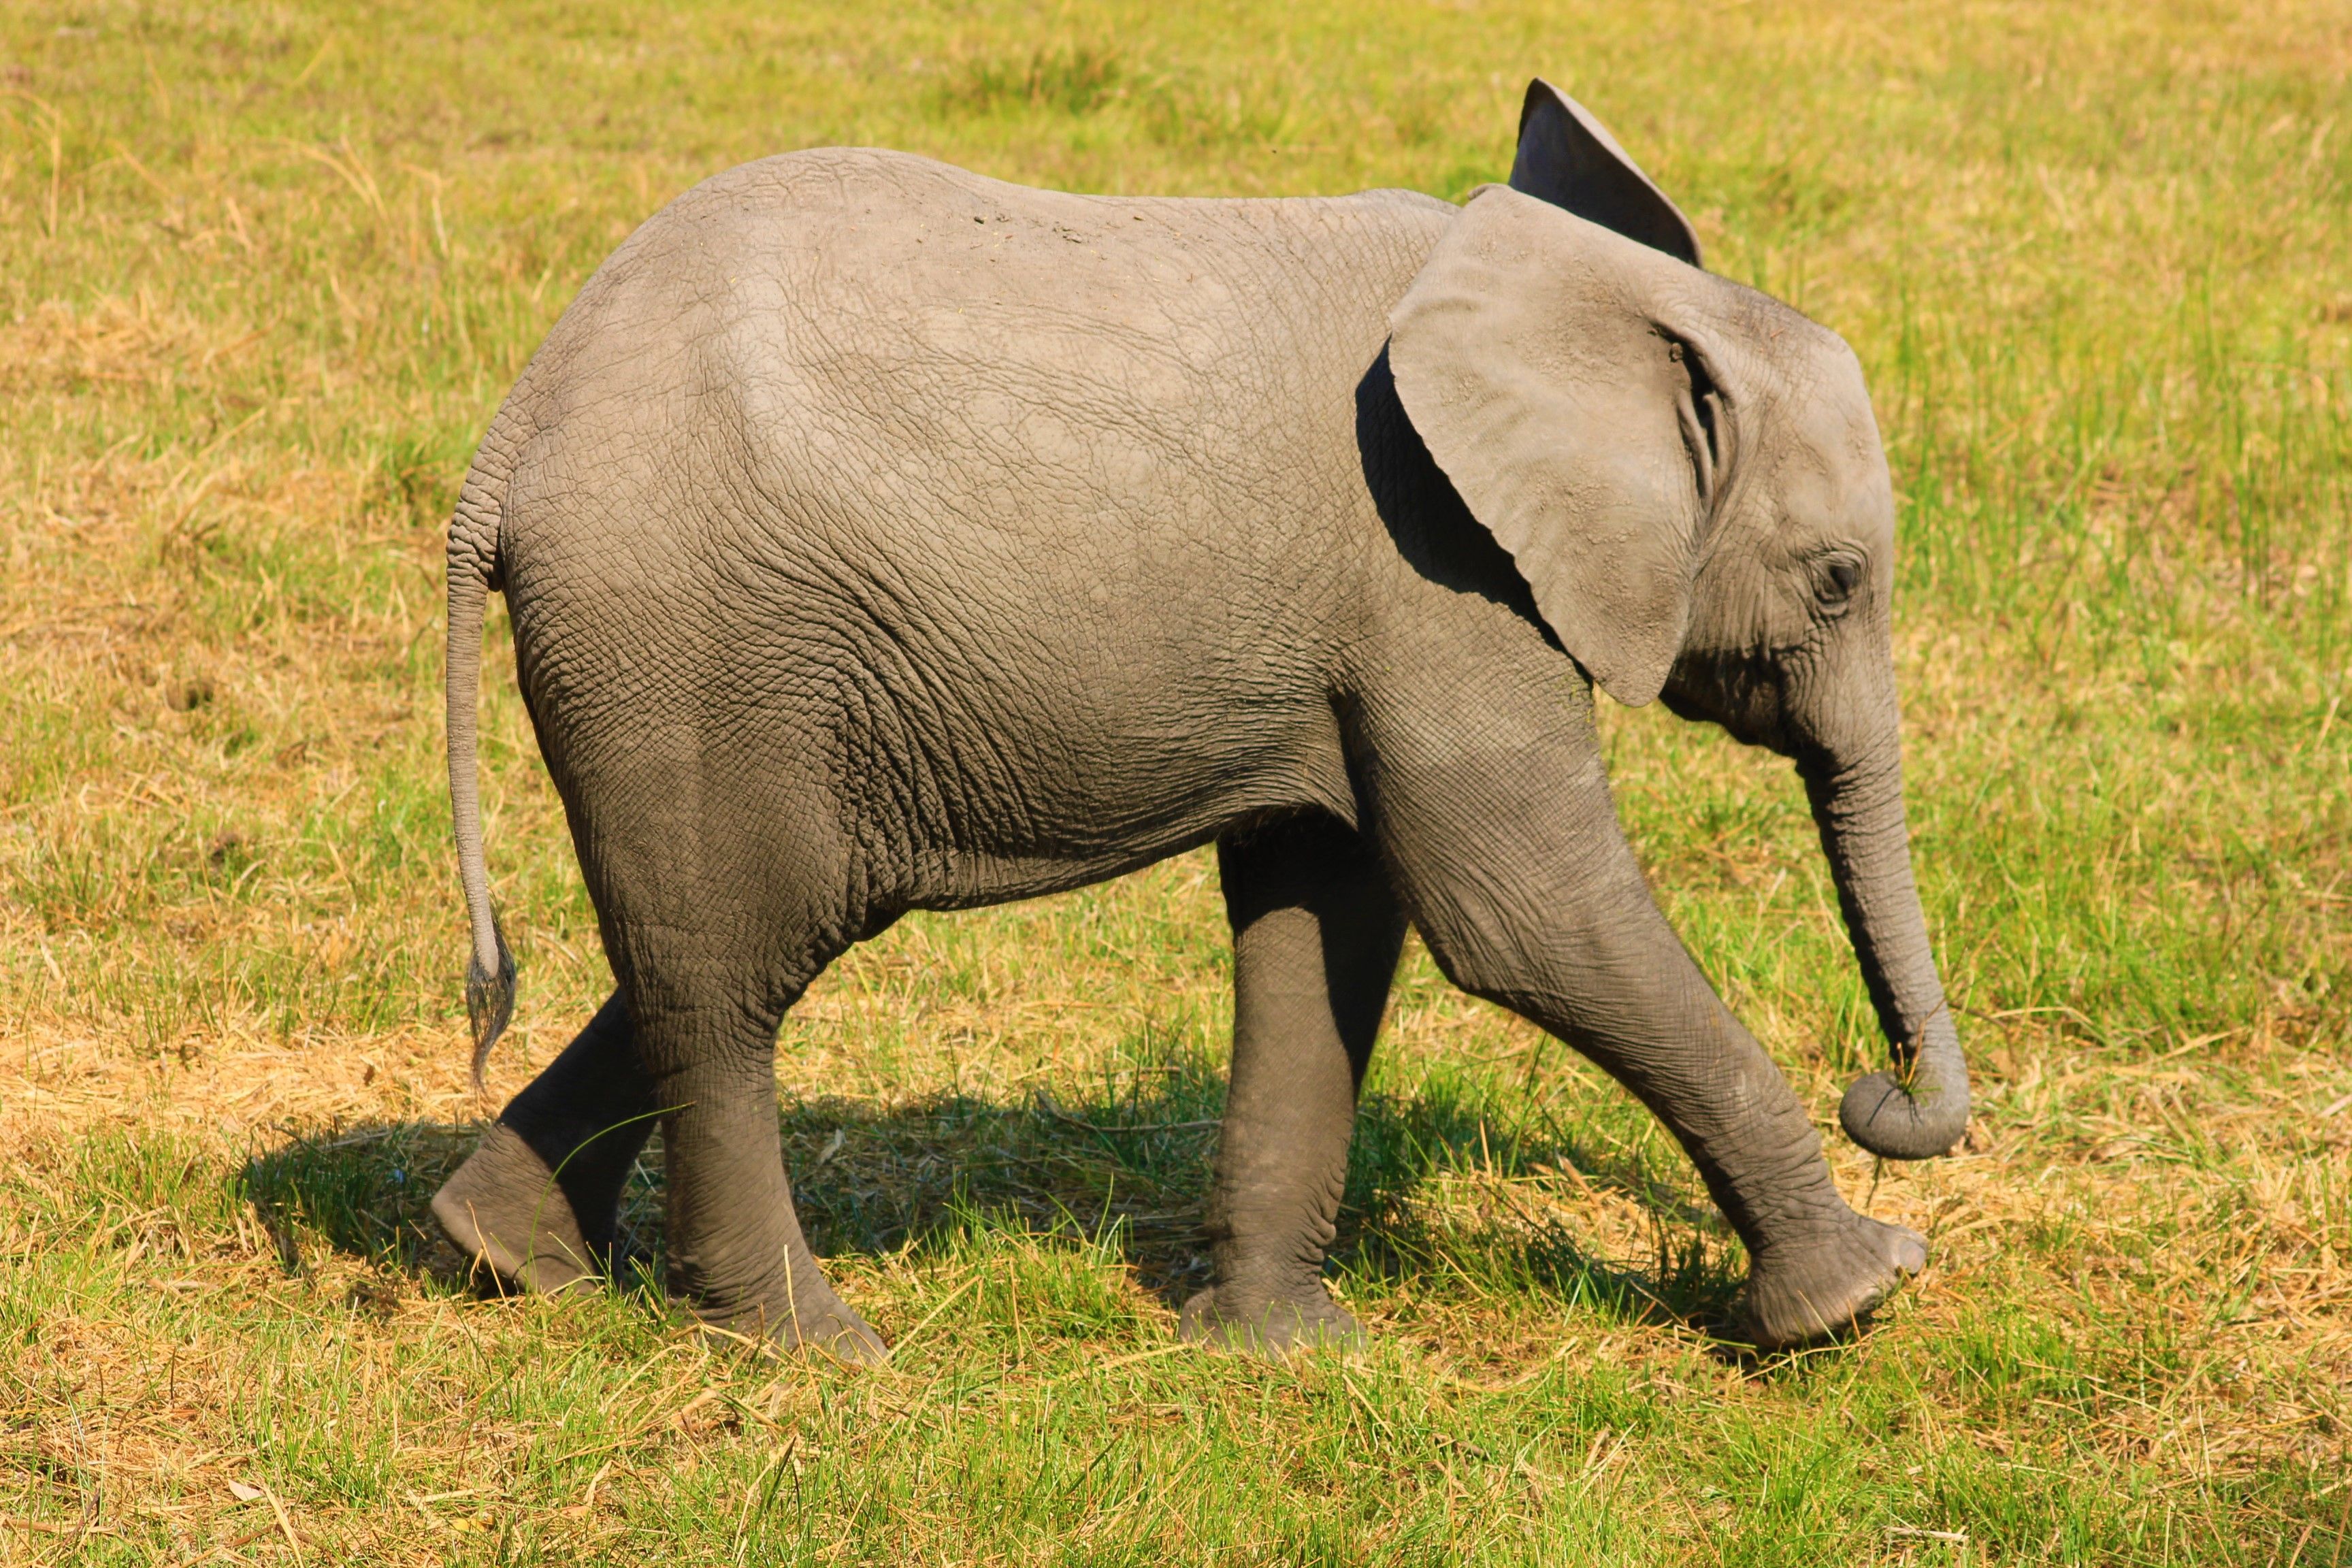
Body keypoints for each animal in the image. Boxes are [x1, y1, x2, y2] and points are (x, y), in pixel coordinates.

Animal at [429, 78, 1970, 1363]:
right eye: (1838, 581)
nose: (1881, 1102)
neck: (1588, 294)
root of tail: (515, 428)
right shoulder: (1436, 575)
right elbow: (1526, 919)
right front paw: (1858, 1298)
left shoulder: (1366, 625)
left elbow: (1329, 911)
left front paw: (1286, 1354)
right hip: (694, 642)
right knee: (732, 980)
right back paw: (815, 1353)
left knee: (727, 947)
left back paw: (504, 1255)